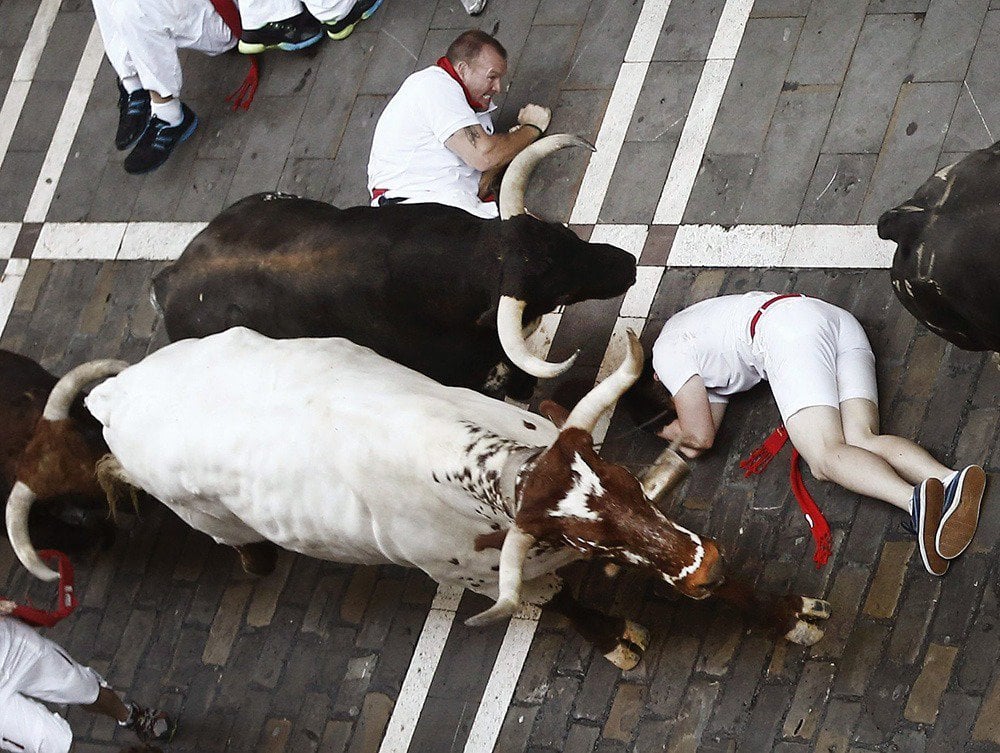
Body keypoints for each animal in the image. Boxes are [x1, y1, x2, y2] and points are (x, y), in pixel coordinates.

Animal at [7, 330, 832, 668]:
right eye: (589, 539)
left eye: (626, 481)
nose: (705, 565)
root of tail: (122, 391)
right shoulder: (474, 573)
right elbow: (556, 602)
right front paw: (614, 637)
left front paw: (789, 614)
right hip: (204, 515)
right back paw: (250, 556)